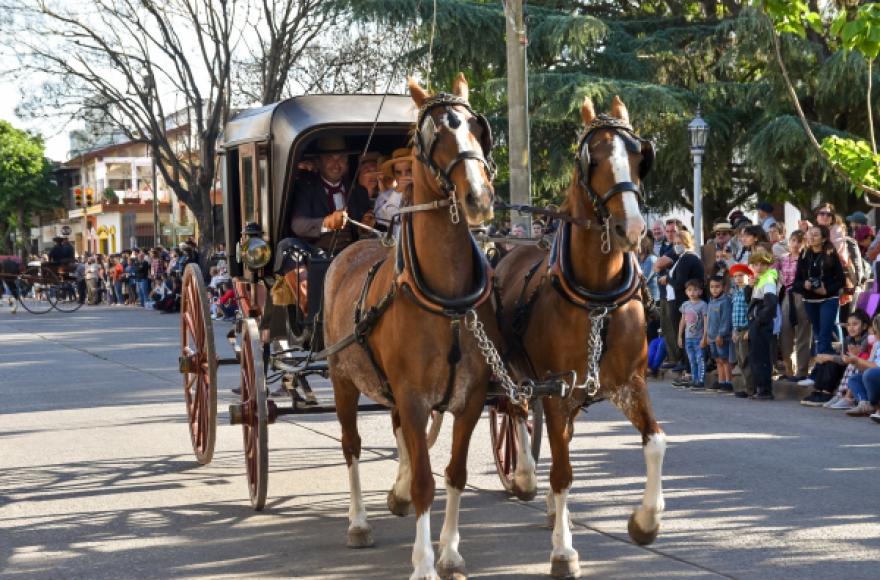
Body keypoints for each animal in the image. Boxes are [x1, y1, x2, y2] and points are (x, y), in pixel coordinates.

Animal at [324, 75, 524, 576]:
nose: (479, 198)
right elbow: (425, 484)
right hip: (342, 379)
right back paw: (358, 522)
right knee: (352, 445)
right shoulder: (414, 397)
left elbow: (454, 473)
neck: (447, 300)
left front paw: (450, 551)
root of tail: (354, 245)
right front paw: (424, 562)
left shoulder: (470, 398)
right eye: (432, 135)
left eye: (476, 127)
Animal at [496, 97, 668, 576]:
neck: (596, 296)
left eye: (639, 156)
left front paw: (645, 522)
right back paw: (524, 476)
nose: (634, 230)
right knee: (514, 411)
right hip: (514, 372)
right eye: (593, 159)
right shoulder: (555, 388)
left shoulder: (629, 383)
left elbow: (655, 442)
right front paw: (563, 551)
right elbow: (563, 471)